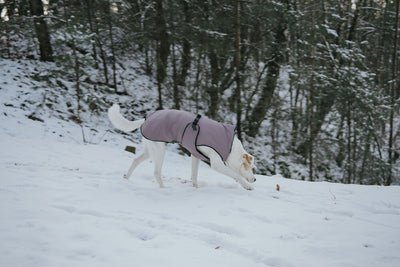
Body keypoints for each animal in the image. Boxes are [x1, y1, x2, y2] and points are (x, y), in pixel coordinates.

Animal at [107, 104, 256, 191]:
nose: (255, 179)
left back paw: (126, 178)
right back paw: (164, 188)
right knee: (156, 172)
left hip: (150, 149)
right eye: (252, 168)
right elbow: (236, 175)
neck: (230, 147)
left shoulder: (195, 156)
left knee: (136, 160)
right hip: (160, 150)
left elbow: (194, 175)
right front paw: (247, 186)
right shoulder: (217, 164)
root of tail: (146, 118)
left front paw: (196, 188)